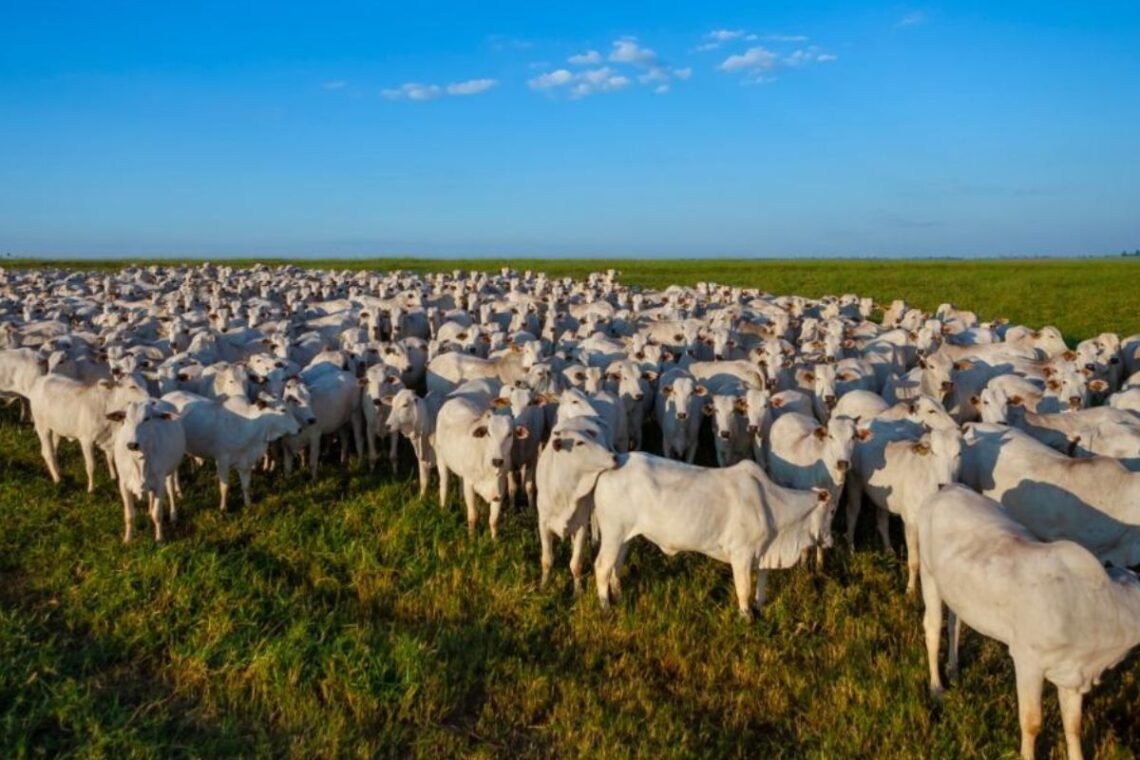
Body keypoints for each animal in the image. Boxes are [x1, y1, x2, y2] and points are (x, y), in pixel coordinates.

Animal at [912, 487, 1140, 760]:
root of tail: (950, 489)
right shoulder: (1027, 660)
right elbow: (1032, 723)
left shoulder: (1072, 674)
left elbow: (1073, 725)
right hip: (929, 575)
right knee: (933, 628)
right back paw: (937, 689)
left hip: (956, 592)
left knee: (954, 624)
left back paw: (954, 671)